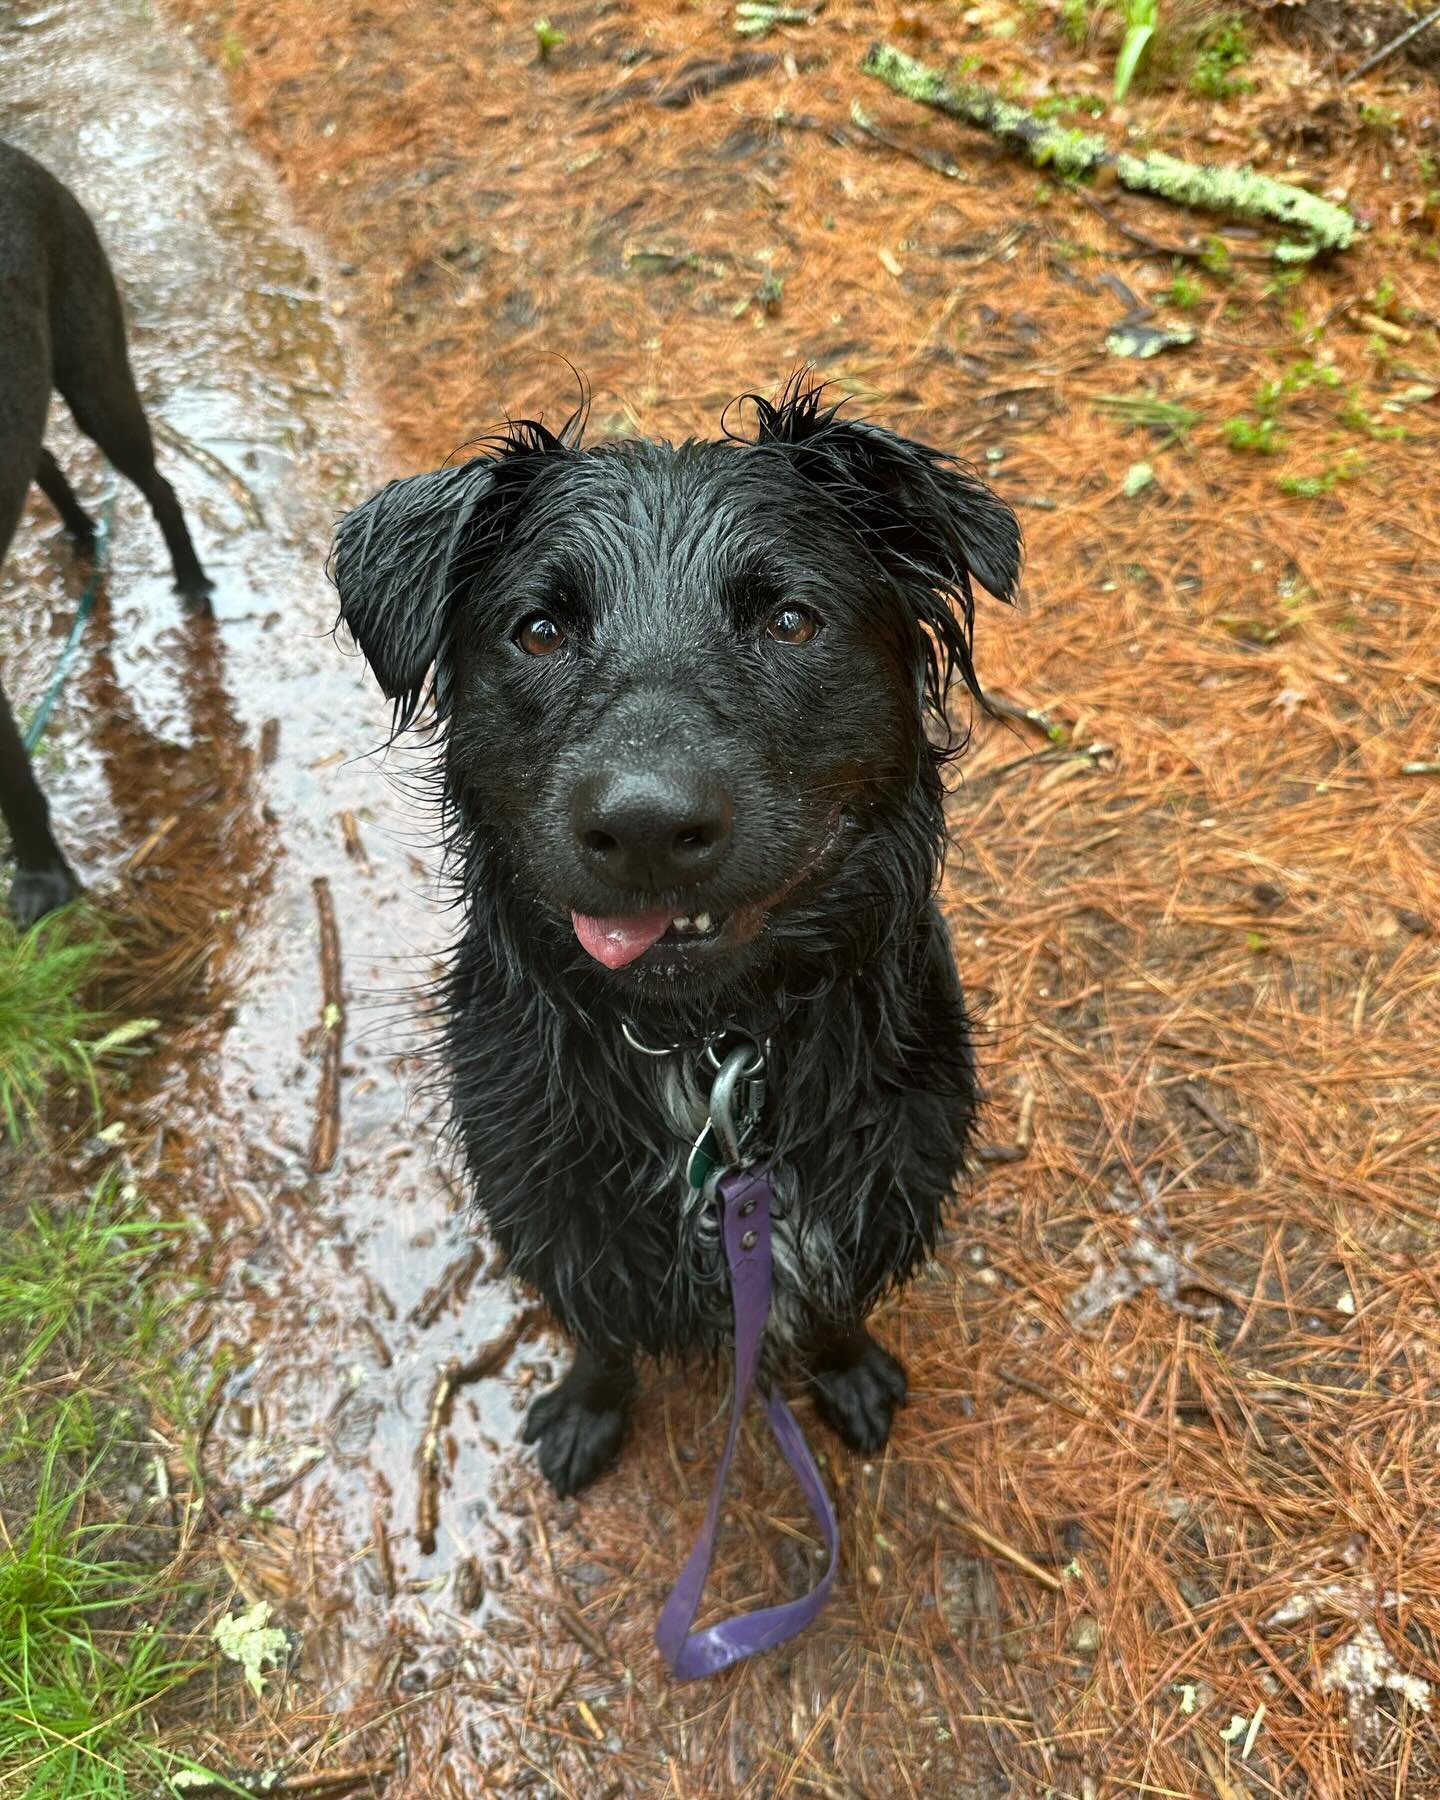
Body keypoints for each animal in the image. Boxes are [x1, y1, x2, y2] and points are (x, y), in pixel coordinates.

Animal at [331, 387, 1015, 1497]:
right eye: (539, 631)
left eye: (790, 620)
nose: (646, 826)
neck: (708, 1047)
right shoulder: (555, 1211)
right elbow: (600, 1336)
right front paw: (588, 1408)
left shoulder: (879, 1182)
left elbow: (838, 1308)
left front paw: (848, 1369)